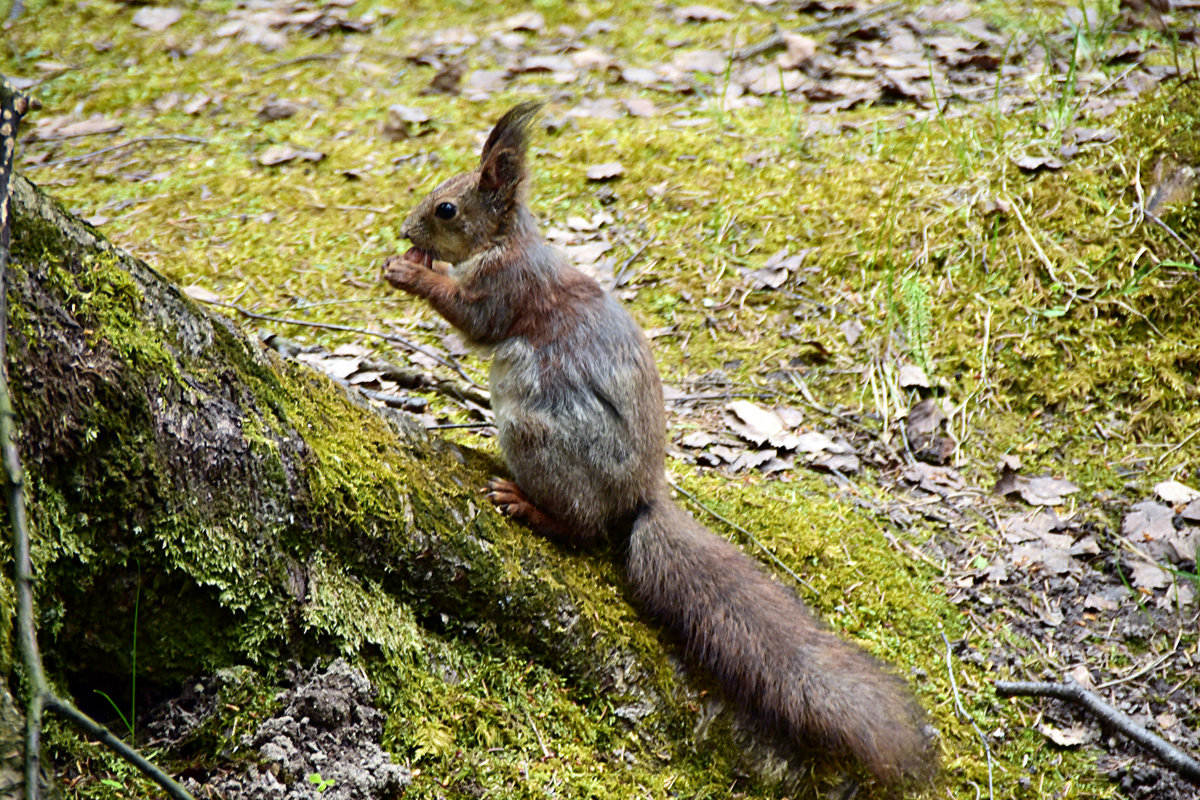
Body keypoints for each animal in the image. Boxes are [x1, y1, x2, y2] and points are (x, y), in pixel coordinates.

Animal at [384, 101, 936, 786]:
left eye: (447, 209)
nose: (405, 230)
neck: (508, 242)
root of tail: (640, 497)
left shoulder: (505, 289)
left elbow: (473, 320)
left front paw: (410, 272)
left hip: (536, 434)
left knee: (584, 528)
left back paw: (528, 505)